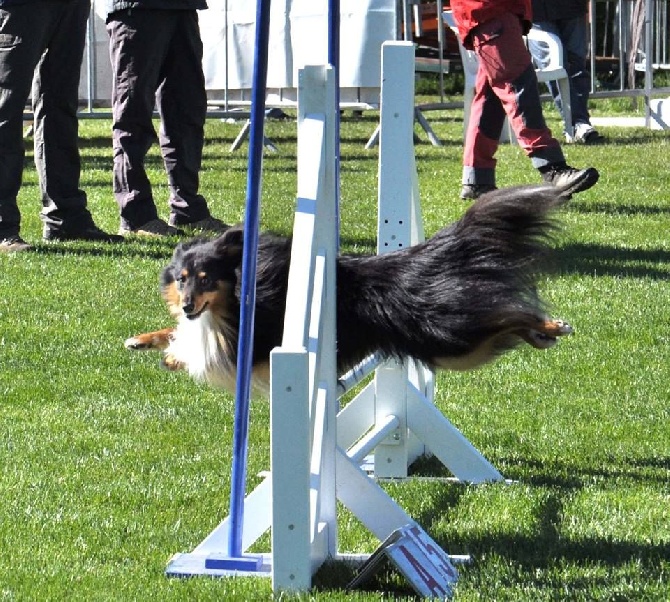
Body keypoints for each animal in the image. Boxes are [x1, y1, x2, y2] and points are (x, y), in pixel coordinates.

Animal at [124, 183, 572, 390]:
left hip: (450, 338)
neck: (237, 291)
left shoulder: (244, 342)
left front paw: (173, 356)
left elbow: (198, 347)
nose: (187, 305)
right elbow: (177, 334)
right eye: (181, 278)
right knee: (508, 320)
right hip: (458, 347)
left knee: (510, 312)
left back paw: (553, 326)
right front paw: (142, 340)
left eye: (206, 279)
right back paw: (543, 334)